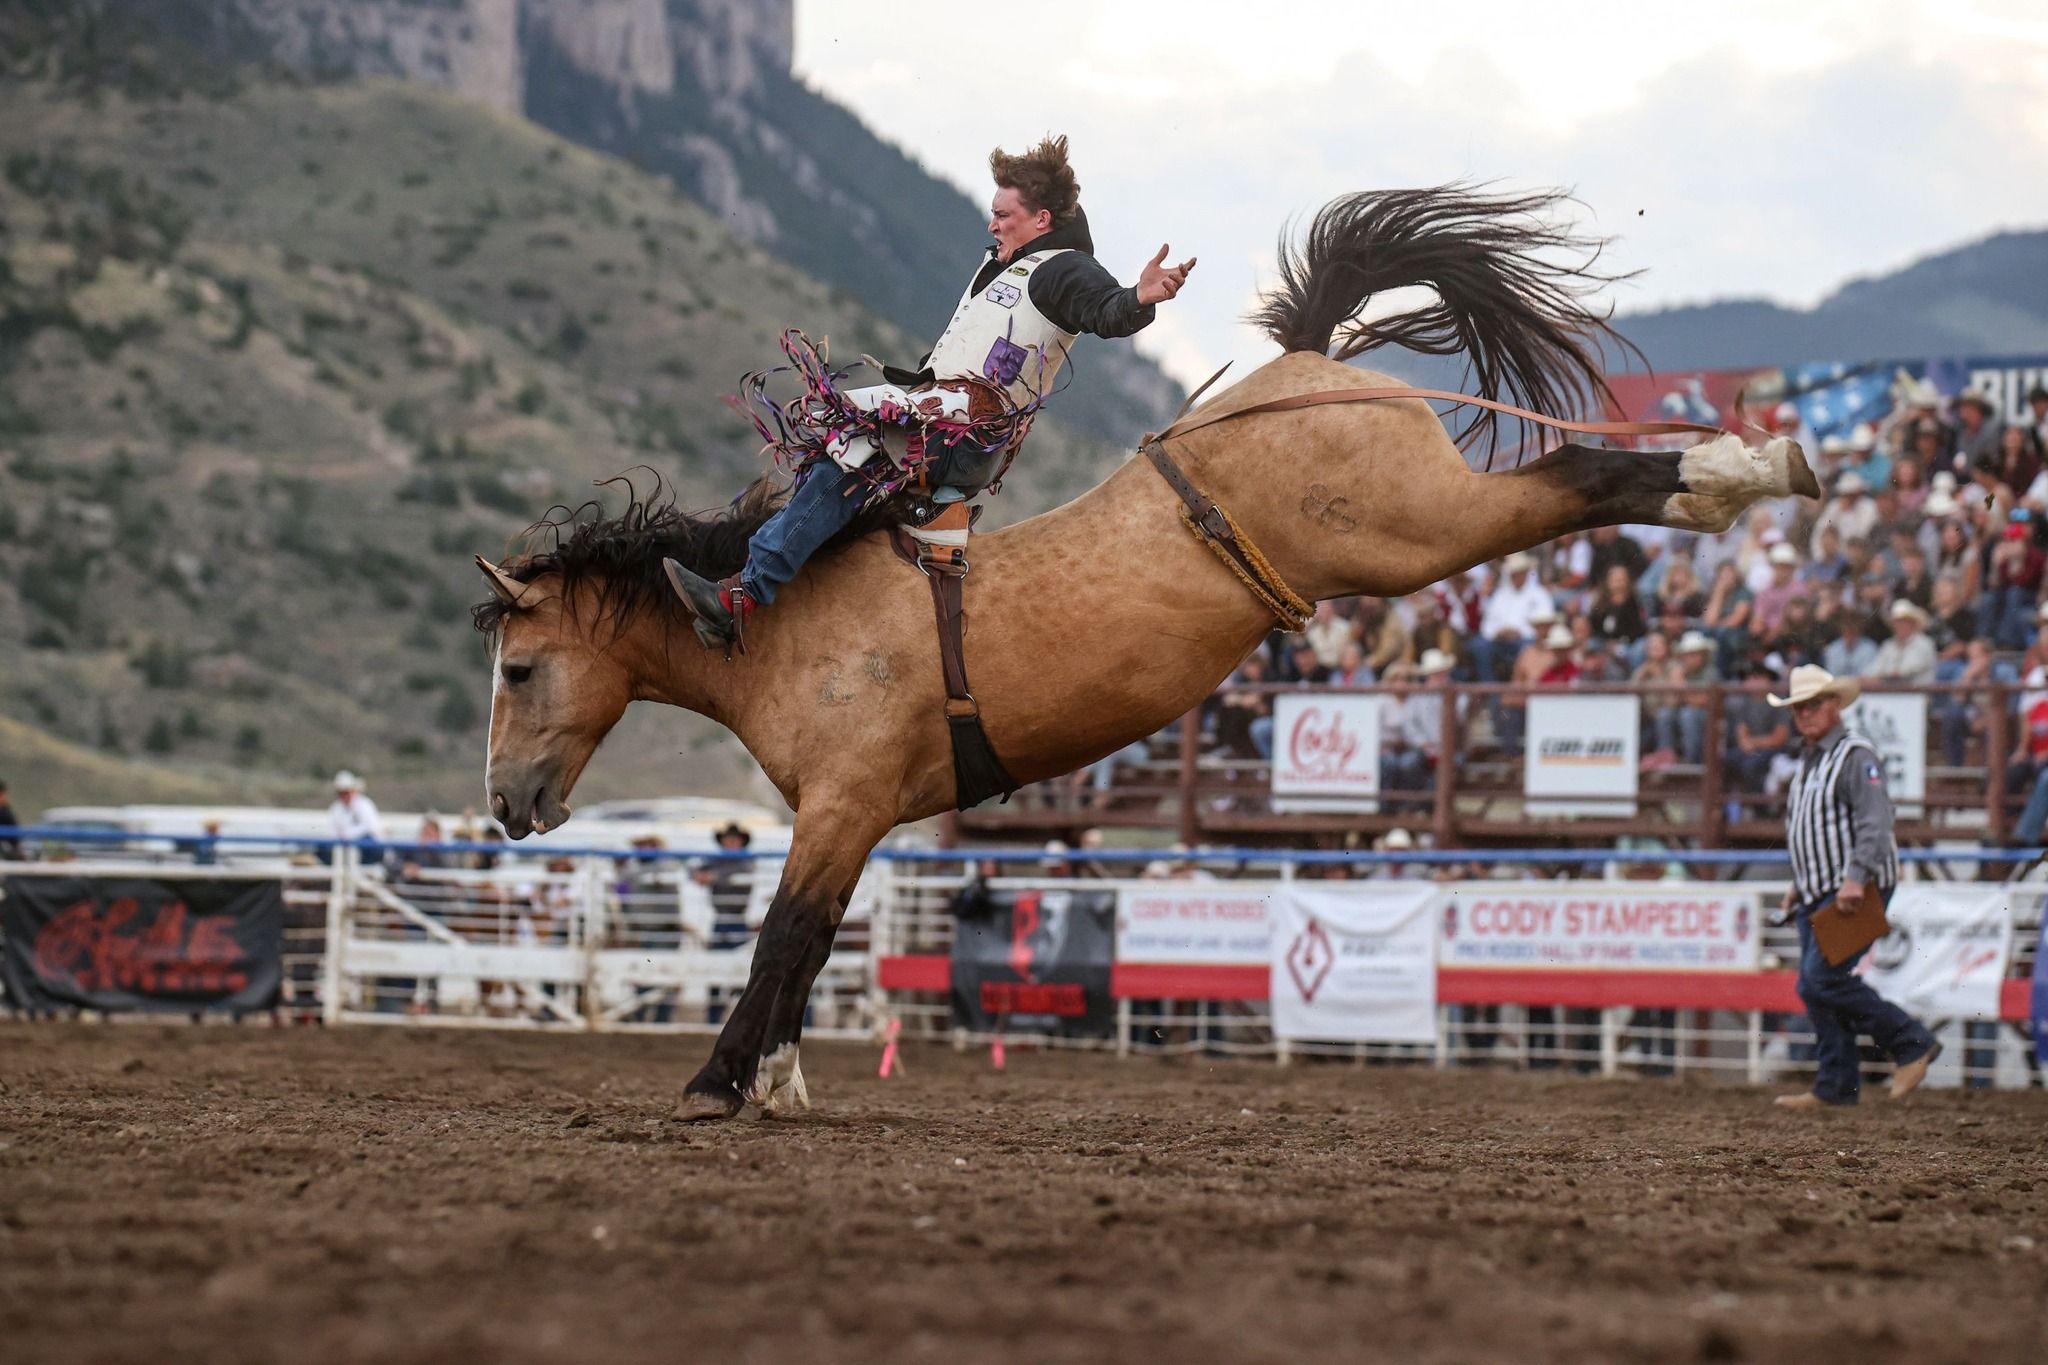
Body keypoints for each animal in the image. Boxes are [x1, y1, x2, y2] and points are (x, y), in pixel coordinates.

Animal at [472, 187, 1817, 1120]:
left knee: (1575, 475)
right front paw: (777, 1083)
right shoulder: (852, 820)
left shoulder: (843, 804)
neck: (784, 622)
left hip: (1416, 529)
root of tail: (1304, 363)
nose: (504, 807)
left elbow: (782, 938)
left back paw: (1747, 467)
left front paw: (717, 1082)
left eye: (520, 669)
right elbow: (813, 943)